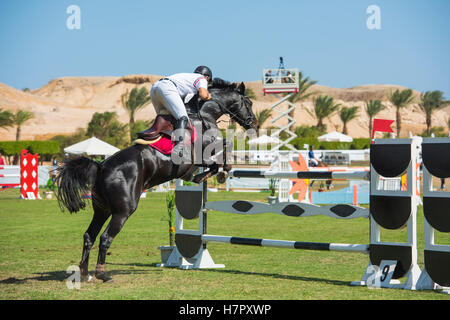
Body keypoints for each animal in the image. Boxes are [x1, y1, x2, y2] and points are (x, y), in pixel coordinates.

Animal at [55, 80, 256, 282]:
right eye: (248, 102)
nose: (253, 122)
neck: (205, 115)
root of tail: (101, 166)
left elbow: (219, 157)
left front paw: (210, 174)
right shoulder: (203, 153)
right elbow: (224, 150)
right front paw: (214, 173)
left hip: (102, 209)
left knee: (89, 236)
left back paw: (84, 273)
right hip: (122, 211)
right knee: (105, 238)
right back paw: (102, 274)